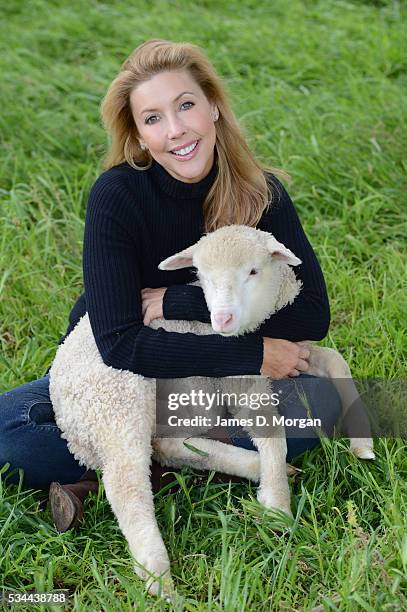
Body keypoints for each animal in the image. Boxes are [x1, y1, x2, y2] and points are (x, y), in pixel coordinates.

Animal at [48, 225, 376, 596]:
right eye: (201, 276)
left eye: (253, 271)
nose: (222, 319)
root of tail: (68, 420)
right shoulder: (243, 375)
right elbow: (272, 432)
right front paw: (278, 506)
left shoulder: (294, 354)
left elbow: (337, 361)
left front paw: (362, 445)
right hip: (118, 402)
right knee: (128, 483)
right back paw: (160, 579)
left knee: (167, 447)